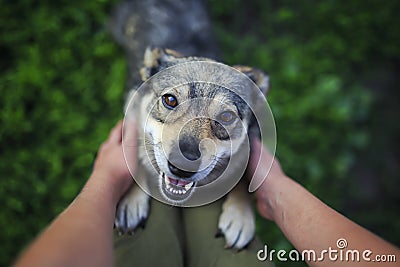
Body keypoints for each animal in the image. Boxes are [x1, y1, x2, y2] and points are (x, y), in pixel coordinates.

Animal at [111, 0, 270, 251]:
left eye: (227, 116)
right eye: (170, 100)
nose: (183, 168)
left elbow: (244, 177)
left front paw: (240, 216)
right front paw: (131, 198)